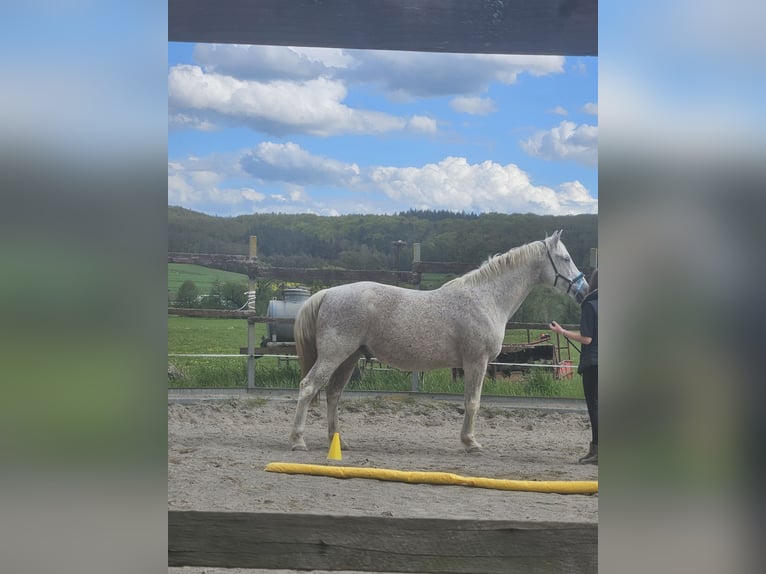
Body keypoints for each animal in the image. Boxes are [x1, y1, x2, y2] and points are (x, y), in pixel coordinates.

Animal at [289, 230, 589, 452]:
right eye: (565, 258)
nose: (584, 289)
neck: (486, 298)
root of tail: (328, 293)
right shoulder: (476, 362)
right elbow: (473, 402)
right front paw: (470, 442)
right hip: (333, 356)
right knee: (308, 387)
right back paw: (298, 440)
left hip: (349, 358)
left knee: (333, 394)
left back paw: (337, 440)